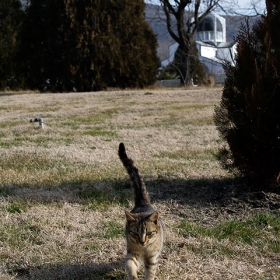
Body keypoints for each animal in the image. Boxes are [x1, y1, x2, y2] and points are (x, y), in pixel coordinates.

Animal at [117, 143, 164, 278]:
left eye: (149, 233)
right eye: (135, 233)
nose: (142, 242)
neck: (144, 249)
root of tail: (143, 202)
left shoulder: (152, 259)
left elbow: (150, 274)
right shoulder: (132, 254)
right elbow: (130, 267)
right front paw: (134, 277)